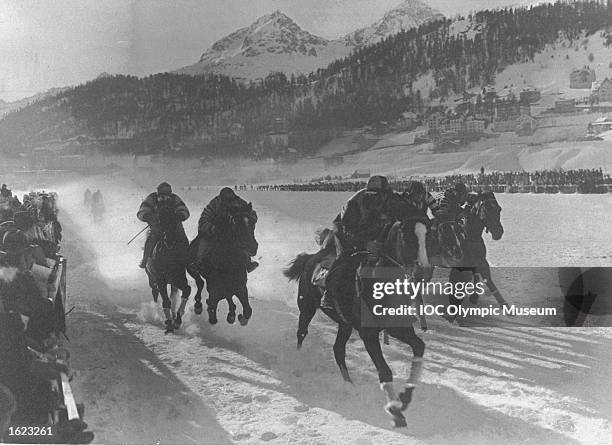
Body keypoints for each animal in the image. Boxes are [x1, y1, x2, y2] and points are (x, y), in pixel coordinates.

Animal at [144, 203, 190, 332]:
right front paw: (169, 322)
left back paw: (173, 316)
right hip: (151, 277)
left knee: (173, 296)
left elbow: (186, 290)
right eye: (160, 220)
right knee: (155, 291)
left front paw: (177, 320)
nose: (168, 239)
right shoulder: (160, 278)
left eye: (174, 220)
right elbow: (165, 300)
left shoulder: (179, 277)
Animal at [284, 219, 428, 426]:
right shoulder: (368, 334)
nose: (424, 271)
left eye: (427, 235)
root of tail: (312, 257)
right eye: (407, 237)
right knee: (302, 333)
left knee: (338, 349)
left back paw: (349, 384)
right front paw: (395, 411)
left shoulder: (398, 328)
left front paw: (404, 398)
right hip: (307, 307)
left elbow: (419, 347)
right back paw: (299, 359)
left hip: (345, 324)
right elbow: (384, 371)